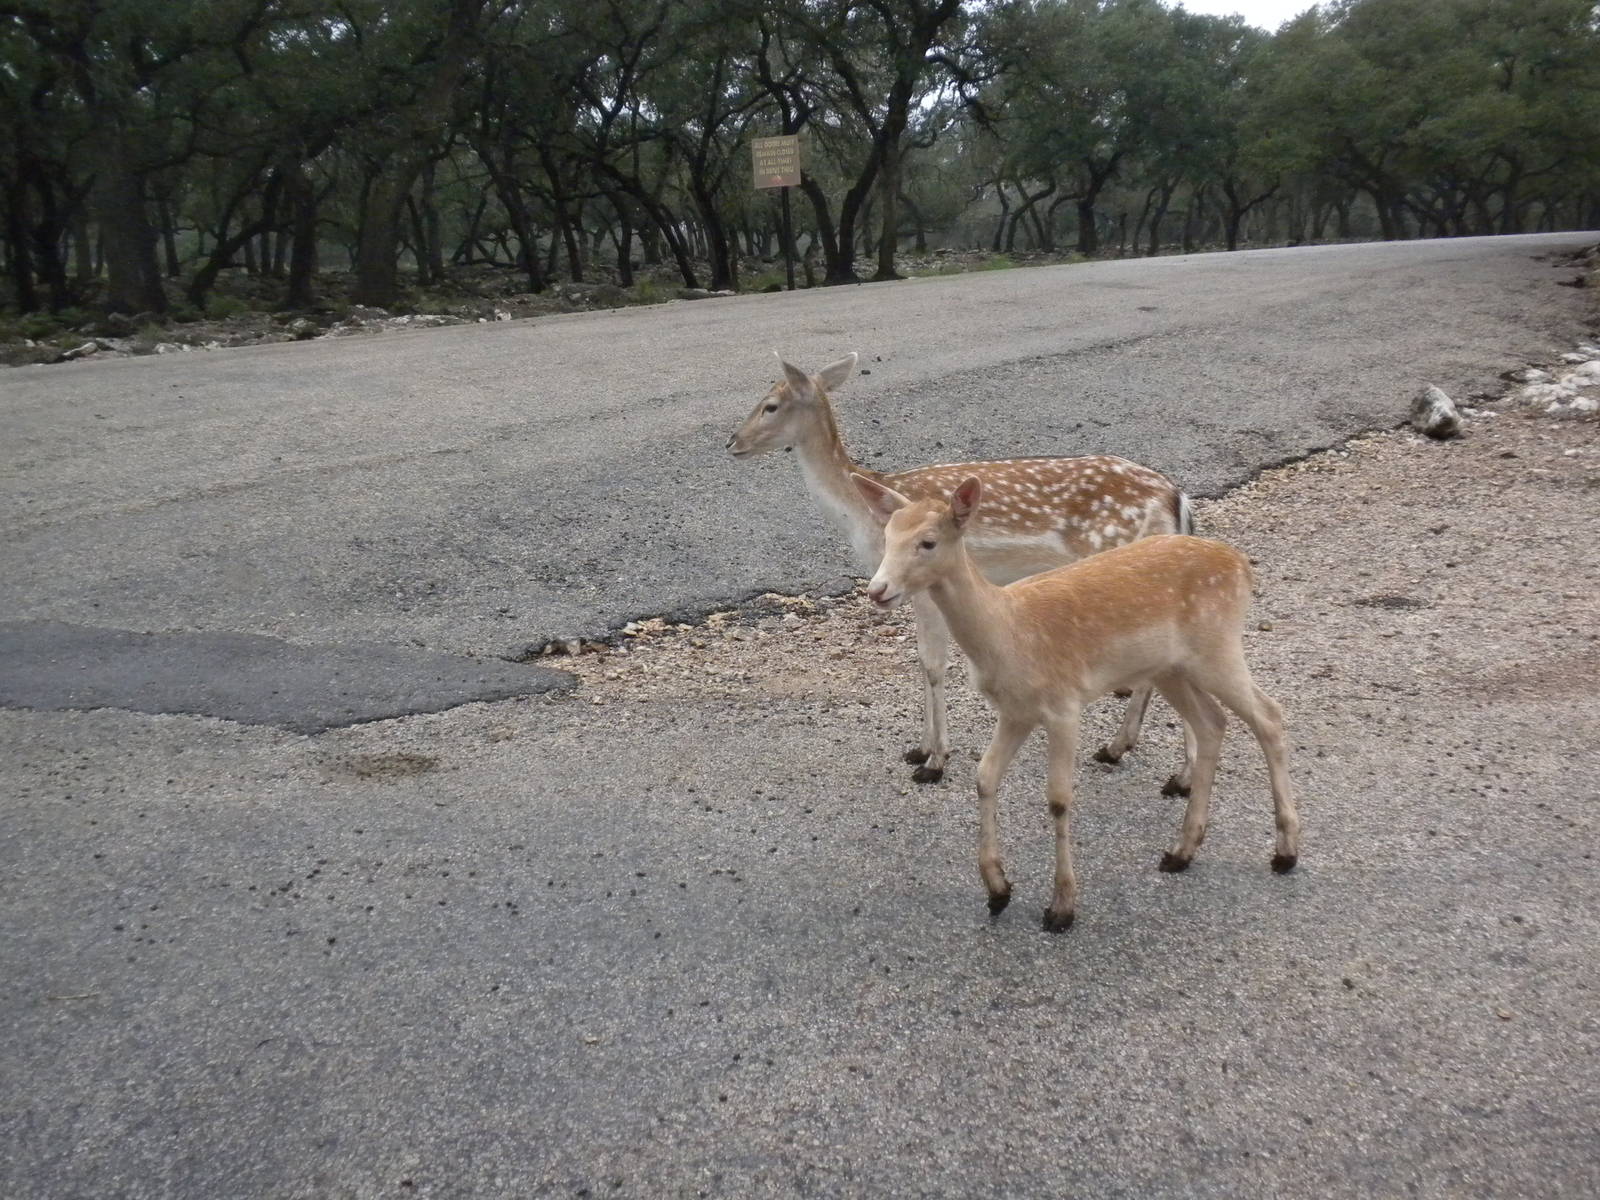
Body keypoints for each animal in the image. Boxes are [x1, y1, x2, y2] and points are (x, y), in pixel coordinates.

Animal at [727, 352, 1196, 791]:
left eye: (770, 405)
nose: (732, 442)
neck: (862, 512)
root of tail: (1178, 500)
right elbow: (922, 663)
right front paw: (919, 749)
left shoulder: (923, 586)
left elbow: (933, 665)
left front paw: (936, 761)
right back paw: (1124, 750)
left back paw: (1172, 772)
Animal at [850, 473, 1300, 931]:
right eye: (887, 536)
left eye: (928, 542)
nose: (878, 590)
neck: (1007, 632)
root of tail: (1241, 565)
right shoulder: (1014, 711)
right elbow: (985, 777)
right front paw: (997, 889)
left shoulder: (1064, 703)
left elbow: (1059, 799)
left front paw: (1062, 906)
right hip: (1171, 668)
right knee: (1212, 723)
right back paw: (1181, 851)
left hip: (1217, 646)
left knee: (1269, 715)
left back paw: (1285, 852)